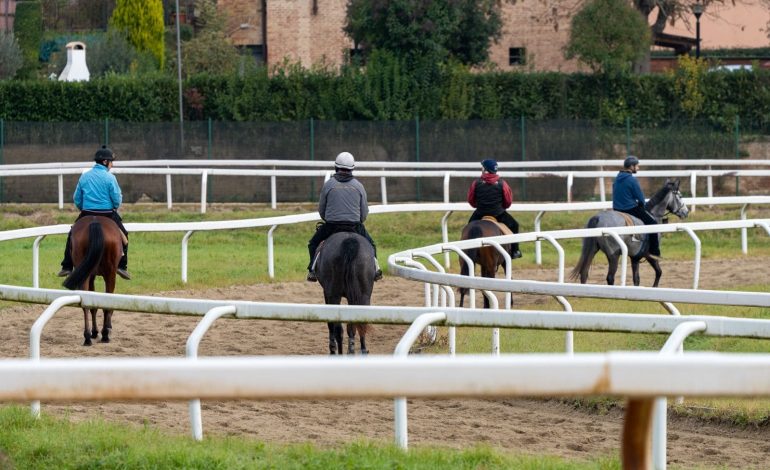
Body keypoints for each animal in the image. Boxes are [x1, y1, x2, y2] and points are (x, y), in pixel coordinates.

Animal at [62, 217, 124, 346]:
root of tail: (95, 222)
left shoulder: (90, 275)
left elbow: (93, 305)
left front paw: (95, 332)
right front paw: (103, 330)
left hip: (86, 274)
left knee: (86, 303)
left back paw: (87, 337)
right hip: (109, 274)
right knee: (106, 303)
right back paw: (104, 334)